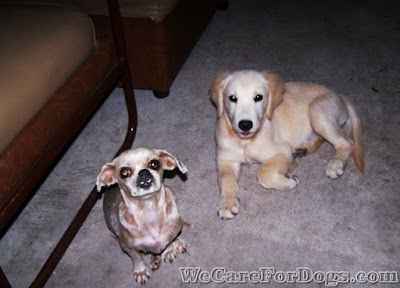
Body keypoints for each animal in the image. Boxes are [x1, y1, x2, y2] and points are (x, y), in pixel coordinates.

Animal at [98, 147, 189, 284]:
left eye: (154, 164)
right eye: (124, 172)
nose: (144, 172)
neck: (149, 208)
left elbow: (169, 240)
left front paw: (168, 250)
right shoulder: (128, 247)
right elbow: (137, 258)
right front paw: (140, 271)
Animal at [211, 71, 364, 219]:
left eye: (258, 97)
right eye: (232, 98)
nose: (245, 125)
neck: (245, 141)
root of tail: (340, 96)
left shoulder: (282, 151)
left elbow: (263, 173)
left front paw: (290, 181)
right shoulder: (225, 158)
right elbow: (226, 178)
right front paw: (227, 203)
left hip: (317, 110)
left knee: (347, 142)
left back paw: (336, 164)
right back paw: (303, 149)